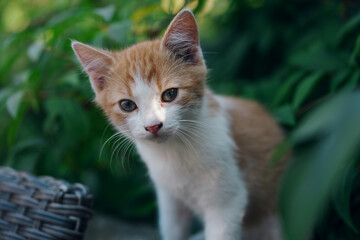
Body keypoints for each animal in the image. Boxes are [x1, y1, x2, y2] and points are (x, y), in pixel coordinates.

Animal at [72, 8, 286, 239]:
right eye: (127, 105)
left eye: (170, 94)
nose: (153, 125)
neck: (175, 152)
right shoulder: (169, 200)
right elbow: (173, 230)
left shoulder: (228, 203)